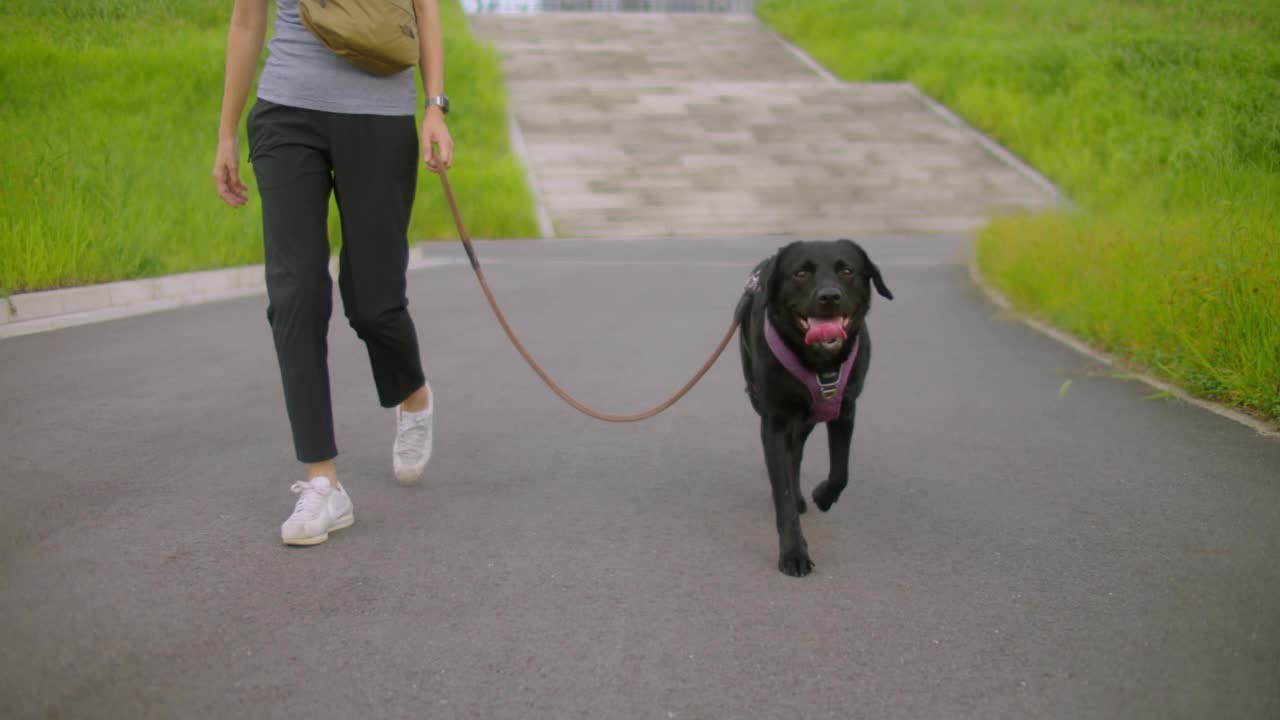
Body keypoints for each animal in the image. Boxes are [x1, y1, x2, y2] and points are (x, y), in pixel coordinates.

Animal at [737, 238, 896, 573]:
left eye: (847, 270)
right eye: (801, 273)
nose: (829, 296)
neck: (820, 362)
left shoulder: (845, 410)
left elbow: (840, 472)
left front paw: (823, 496)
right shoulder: (774, 421)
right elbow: (782, 488)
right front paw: (793, 552)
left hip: (808, 419)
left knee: (796, 453)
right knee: (788, 458)